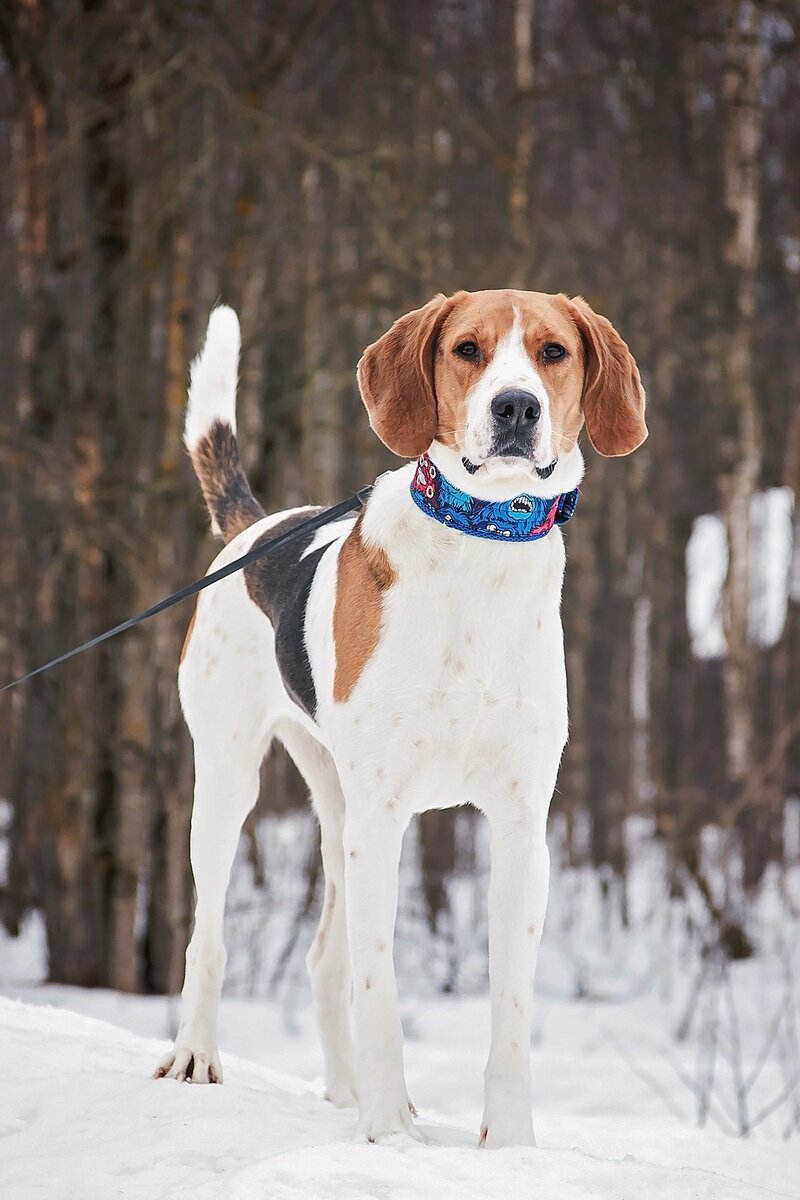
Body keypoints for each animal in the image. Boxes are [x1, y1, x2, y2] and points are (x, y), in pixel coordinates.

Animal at [153, 288, 647, 1142]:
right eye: (467, 348)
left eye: (553, 352)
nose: (515, 407)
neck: (482, 543)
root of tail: (254, 528)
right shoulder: (383, 816)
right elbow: (379, 987)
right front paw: (388, 1134)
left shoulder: (521, 826)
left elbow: (510, 1004)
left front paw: (509, 1143)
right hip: (230, 786)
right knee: (210, 937)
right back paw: (198, 1055)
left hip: (337, 810)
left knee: (325, 959)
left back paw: (344, 1092)